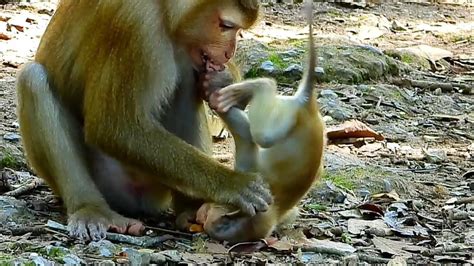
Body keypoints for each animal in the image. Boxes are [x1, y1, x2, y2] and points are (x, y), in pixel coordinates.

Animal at [15, 0, 270, 241]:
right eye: (226, 26)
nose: (229, 53)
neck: (164, 12)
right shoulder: (134, 23)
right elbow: (113, 127)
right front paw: (232, 183)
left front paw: (222, 81)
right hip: (111, 182)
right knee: (33, 80)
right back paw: (90, 208)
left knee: (186, 80)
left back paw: (192, 209)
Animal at [197, 1, 326, 243]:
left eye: (224, 224)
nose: (207, 222)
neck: (273, 212)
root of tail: (307, 106)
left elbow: (246, 139)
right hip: (288, 116)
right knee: (263, 133)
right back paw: (260, 85)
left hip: (285, 117)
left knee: (259, 135)